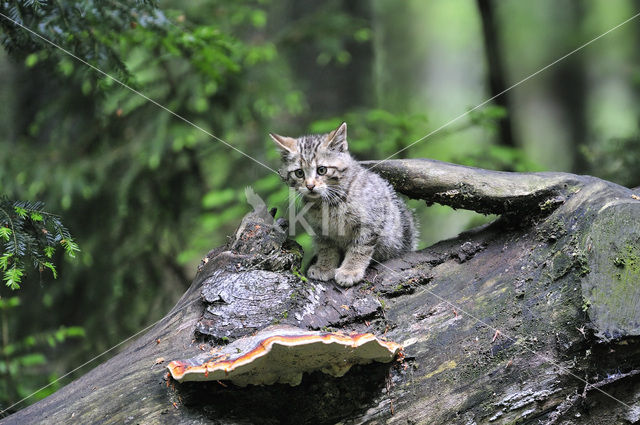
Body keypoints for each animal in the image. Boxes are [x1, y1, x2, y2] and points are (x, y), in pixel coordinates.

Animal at [268, 122, 418, 286]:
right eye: (299, 173)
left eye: (322, 170)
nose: (310, 186)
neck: (328, 202)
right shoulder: (320, 230)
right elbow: (326, 248)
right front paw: (324, 267)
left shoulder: (370, 222)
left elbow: (360, 247)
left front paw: (350, 271)